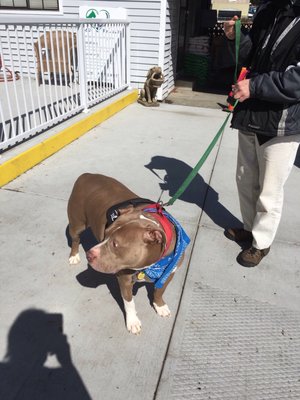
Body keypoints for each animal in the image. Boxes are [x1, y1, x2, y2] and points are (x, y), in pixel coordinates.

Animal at [68, 173, 190, 332]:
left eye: (115, 244)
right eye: (105, 234)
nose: (89, 254)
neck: (152, 265)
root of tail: (86, 174)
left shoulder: (170, 272)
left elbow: (159, 290)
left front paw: (160, 305)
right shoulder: (124, 279)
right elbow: (129, 303)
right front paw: (133, 321)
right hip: (77, 222)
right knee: (75, 239)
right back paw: (74, 256)